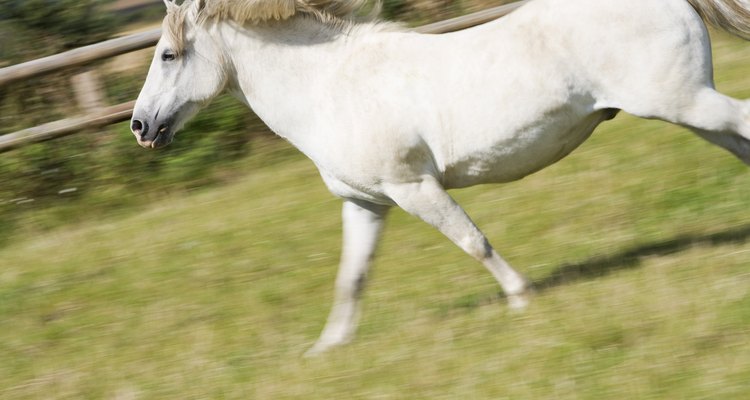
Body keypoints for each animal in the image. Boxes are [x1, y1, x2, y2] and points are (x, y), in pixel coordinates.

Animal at [132, 0, 750, 354]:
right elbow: (351, 277)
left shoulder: (413, 189)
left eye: (167, 55)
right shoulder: (367, 204)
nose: (141, 127)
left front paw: (522, 299)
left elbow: (474, 242)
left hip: (684, 102)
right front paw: (328, 348)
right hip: (689, 110)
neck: (329, 87)